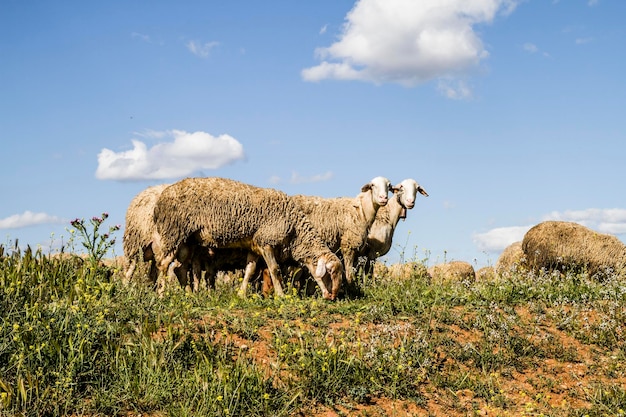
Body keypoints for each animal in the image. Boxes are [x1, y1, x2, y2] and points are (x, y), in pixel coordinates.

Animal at [152, 176, 346, 300]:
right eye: (330, 273)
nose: (332, 296)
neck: (295, 231)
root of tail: (159, 202)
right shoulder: (266, 240)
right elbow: (275, 269)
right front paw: (281, 295)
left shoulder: (255, 246)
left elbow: (249, 270)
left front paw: (241, 294)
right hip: (173, 232)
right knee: (163, 264)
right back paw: (161, 296)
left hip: (187, 240)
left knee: (180, 268)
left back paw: (189, 295)